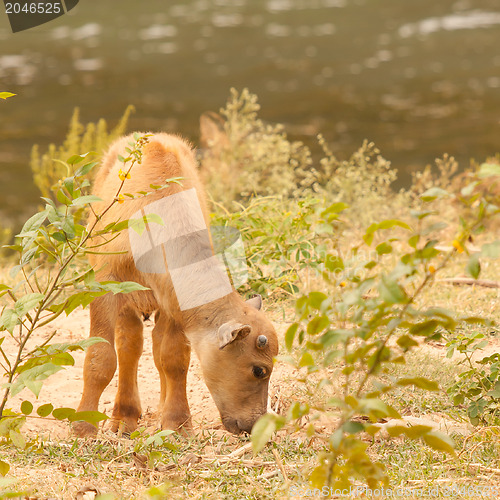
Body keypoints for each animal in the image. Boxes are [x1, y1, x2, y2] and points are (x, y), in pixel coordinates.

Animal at [73, 133, 280, 438]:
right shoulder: (107, 288)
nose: (253, 425)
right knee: (129, 347)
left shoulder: (173, 301)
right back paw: (124, 417)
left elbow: (173, 358)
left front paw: (178, 423)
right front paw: (82, 427)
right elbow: (100, 358)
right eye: (259, 370)